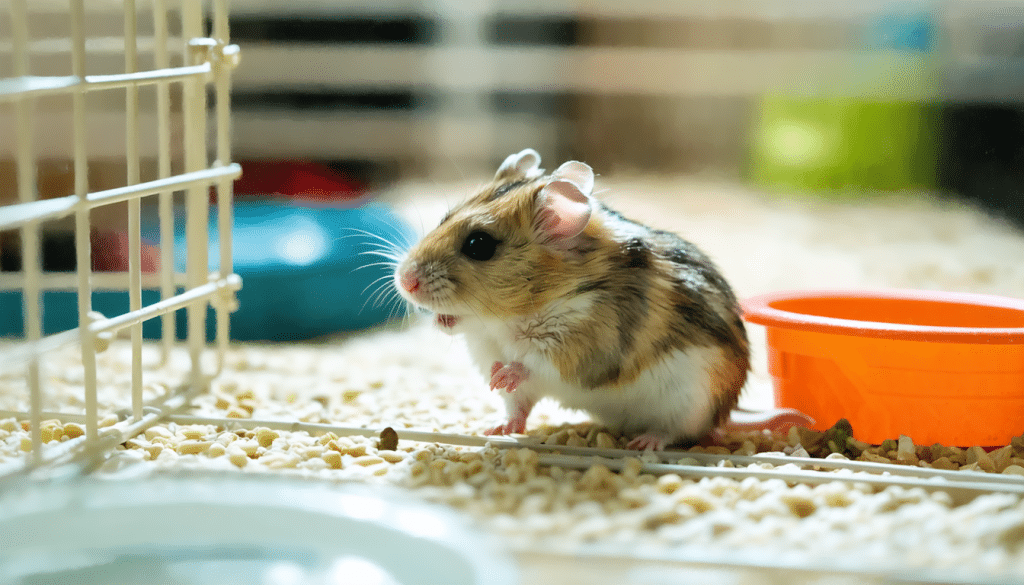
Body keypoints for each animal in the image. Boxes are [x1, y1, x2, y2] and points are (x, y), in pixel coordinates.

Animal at [395, 149, 806, 450]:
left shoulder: (586, 339)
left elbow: (534, 360)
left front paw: (502, 375)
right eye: (445, 217)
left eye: (479, 245)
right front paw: (493, 402)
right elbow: (518, 399)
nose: (404, 280)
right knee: (519, 412)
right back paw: (497, 429)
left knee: (679, 432)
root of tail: (727, 414)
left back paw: (645, 442)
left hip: (691, 400)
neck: (508, 320)